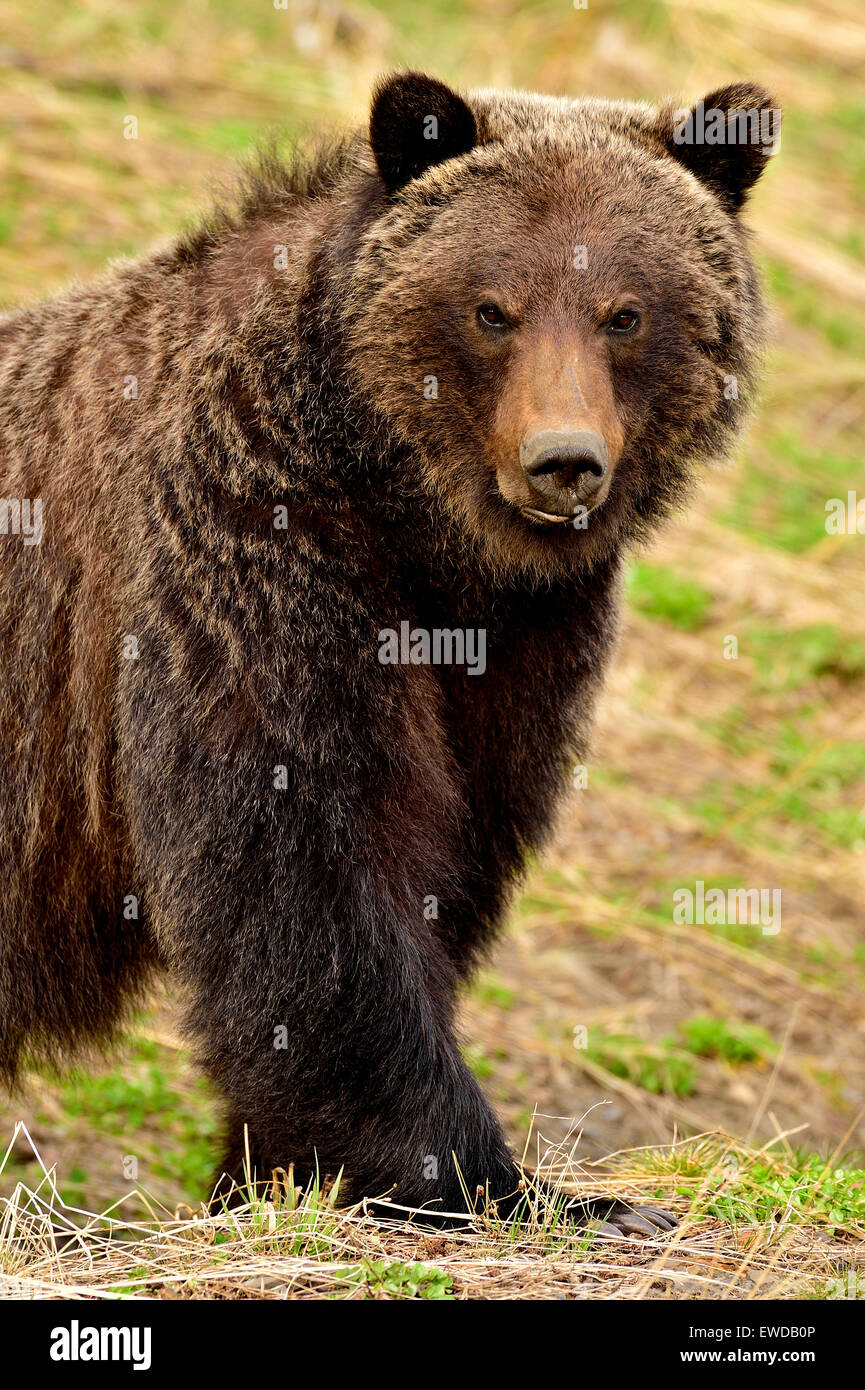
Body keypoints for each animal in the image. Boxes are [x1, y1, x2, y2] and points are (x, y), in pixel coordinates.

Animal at [0, 73, 778, 1228]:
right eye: (492, 307)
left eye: (626, 312)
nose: (563, 462)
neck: (419, 526)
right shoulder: (248, 550)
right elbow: (315, 869)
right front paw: (499, 1178)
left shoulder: (518, 649)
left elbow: (447, 860)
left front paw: (268, 1167)